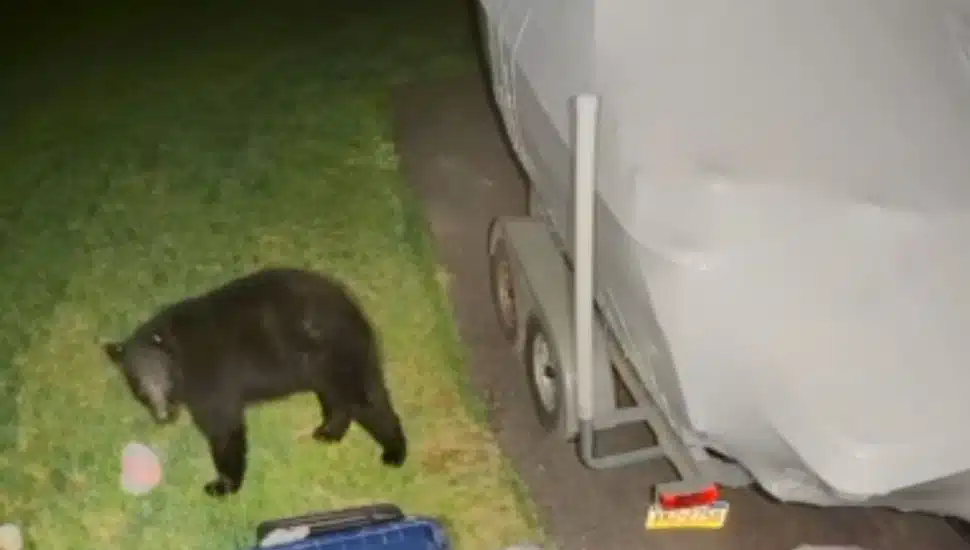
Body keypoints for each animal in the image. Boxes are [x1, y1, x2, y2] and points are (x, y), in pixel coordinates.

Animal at [102, 267, 407, 498]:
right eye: (139, 386)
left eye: (162, 379)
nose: (163, 416)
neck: (180, 354)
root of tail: (351, 305)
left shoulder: (212, 376)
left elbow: (223, 426)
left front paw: (222, 485)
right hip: (329, 364)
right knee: (344, 396)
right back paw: (328, 432)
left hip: (334, 354)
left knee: (364, 400)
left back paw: (393, 451)